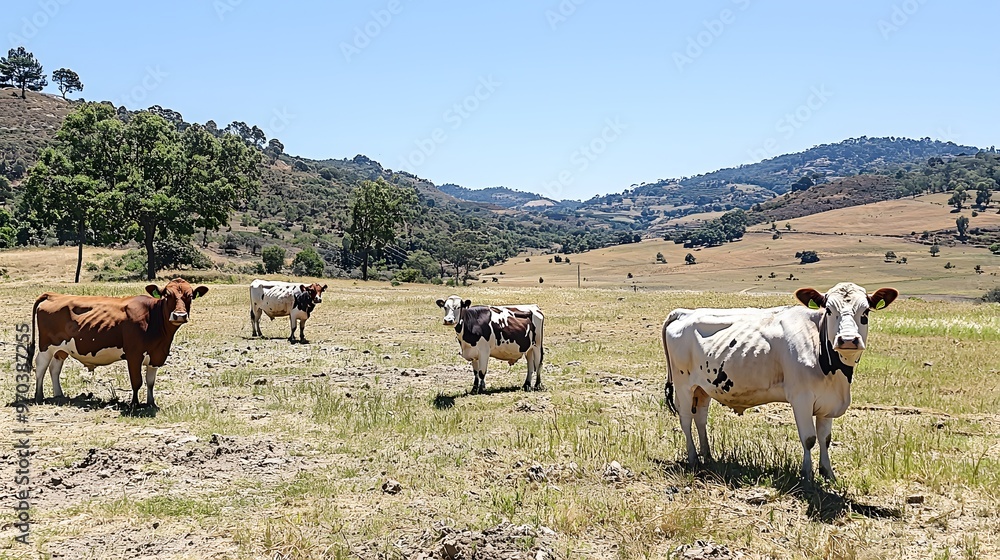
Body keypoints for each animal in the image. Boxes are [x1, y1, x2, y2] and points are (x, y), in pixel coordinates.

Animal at [28, 278, 209, 408]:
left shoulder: (157, 355)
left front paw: (151, 403)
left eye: (190, 296)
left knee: (54, 368)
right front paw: (135, 404)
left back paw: (59, 395)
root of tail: (54, 295)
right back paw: (39, 396)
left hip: (61, 349)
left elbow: (150, 382)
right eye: (166, 295)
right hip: (46, 346)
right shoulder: (134, 354)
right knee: (41, 366)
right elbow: (137, 381)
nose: (179, 315)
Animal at [661, 282, 898, 481]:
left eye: (865, 312)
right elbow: (809, 438)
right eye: (829, 311)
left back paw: (707, 455)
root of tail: (685, 312)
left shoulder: (827, 402)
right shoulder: (801, 399)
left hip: (703, 387)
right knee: (685, 419)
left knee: (700, 418)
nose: (848, 340)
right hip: (683, 385)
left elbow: (825, 438)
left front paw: (828, 473)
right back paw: (693, 458)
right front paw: (807, 475)